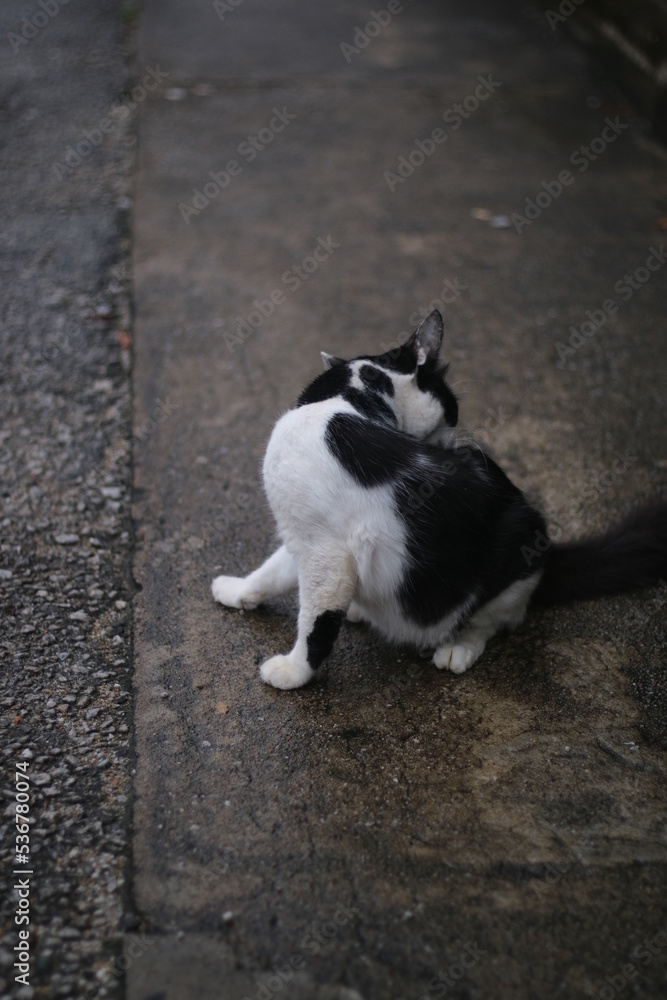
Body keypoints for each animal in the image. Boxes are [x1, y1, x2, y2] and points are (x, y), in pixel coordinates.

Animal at [214, 312, 667, 688]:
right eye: (452, 410)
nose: (455, 445)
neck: (339, 403)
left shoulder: (325, 554)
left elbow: (314, 623)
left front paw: (294, 672)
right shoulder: (303, 536)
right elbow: (272, 571)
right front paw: (238, 590)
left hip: (522, 537)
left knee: (495, 618)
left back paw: (458, 647)